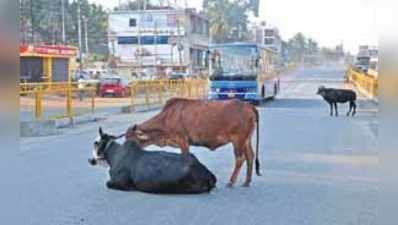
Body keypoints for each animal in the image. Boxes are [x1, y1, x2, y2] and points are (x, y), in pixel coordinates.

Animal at [88, 127, 216, 194]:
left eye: (96, 143)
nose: (90, 160)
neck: (114, 156)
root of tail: (208, 174)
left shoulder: (121, 183)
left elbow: (107, 183)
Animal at [125, 97, 262, 187]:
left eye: (131, 140)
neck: (166, 119)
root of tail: (247, 105)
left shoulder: (182, 140)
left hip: (238, 140)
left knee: (240, 159)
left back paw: (231, 182)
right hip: (246, 140)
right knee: (250, 156)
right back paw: (247, 181)